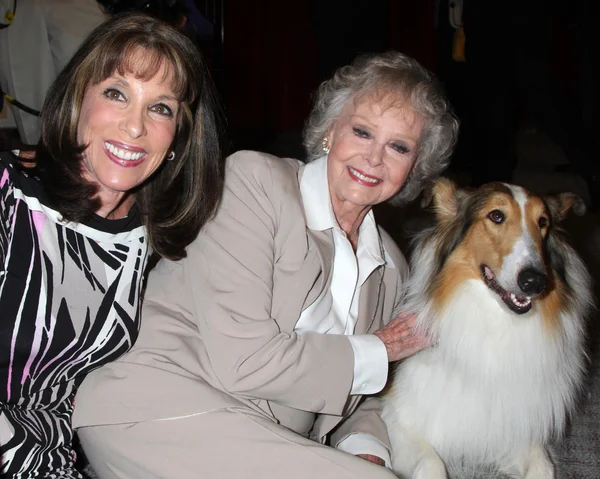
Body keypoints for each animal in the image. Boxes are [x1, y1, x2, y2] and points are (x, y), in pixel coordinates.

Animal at [382, 179, 592, 479]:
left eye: (543, 222)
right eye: (496, 215)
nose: (534, 281)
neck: (495, 324)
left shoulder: (519, 430)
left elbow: (542, 467)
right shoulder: (398, 418)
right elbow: (433, 464)